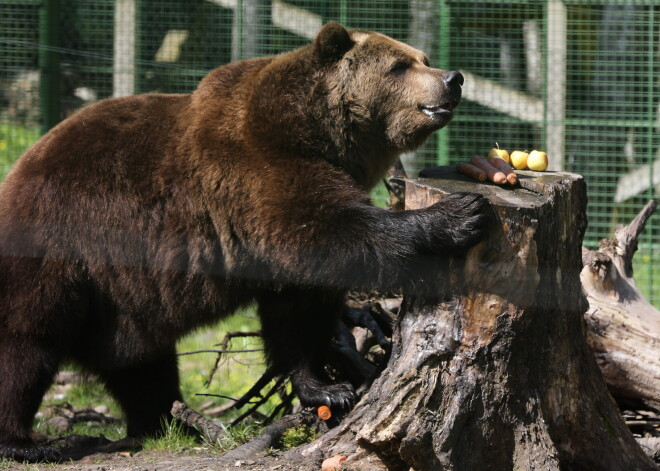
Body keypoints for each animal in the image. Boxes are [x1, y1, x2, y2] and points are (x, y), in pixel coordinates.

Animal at [0, 24, 488, 462]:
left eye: (424, 58)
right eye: (400, 65)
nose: (453, 78)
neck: (319, 134)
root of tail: (19, 170)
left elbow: (296, 309)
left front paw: (325, 385)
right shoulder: (255, 171)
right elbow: (333, 231)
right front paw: (460, 213)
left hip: (119, 300)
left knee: (141, 362)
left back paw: (169, 422)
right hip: (58, 248)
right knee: (24, 344)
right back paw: (28, 442)